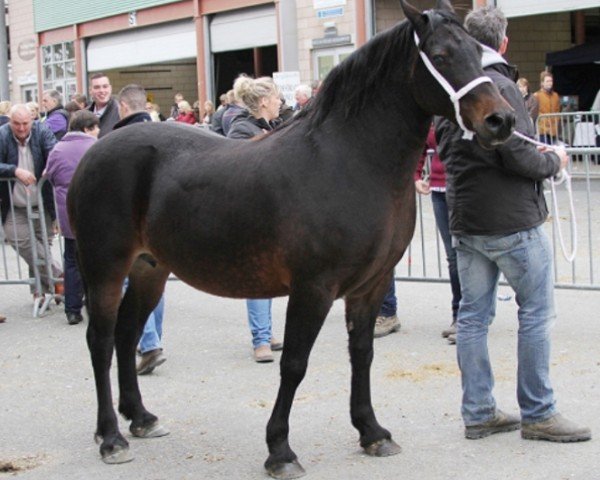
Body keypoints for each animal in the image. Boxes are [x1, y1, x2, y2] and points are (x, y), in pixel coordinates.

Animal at [68, 0, 512, 476]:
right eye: (443, 55)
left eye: (479, 52)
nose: (500, 120)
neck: (350, 160)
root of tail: (94, 151)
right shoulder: (313, 288)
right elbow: (294, 364)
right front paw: (279, 450)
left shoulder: (371, 286)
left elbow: (362, 354)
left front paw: (372, 432)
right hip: (105, 270)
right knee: (100, 341)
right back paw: (111, 437)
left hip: (149, 270)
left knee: (127, 335)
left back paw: (140, 418)